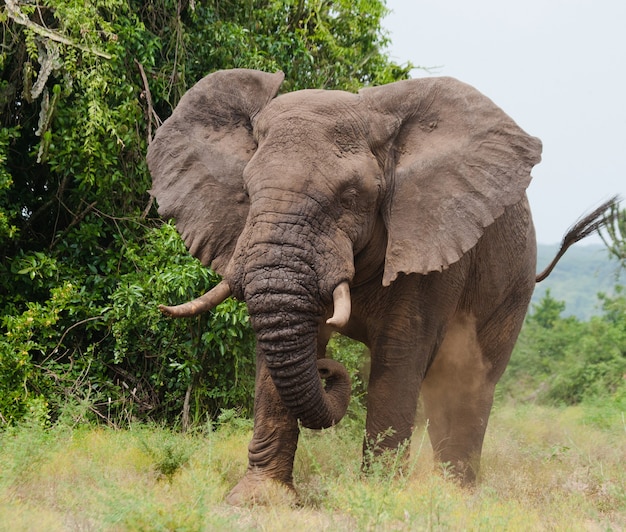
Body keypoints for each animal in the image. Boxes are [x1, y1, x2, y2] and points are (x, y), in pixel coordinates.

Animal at [145, 67, 616, 502]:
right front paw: (259, 500)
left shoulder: (430, 240)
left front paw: (378, 497)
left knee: (470, 382)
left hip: (513, 286)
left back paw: (456, 496)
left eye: (352, 197)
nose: (328, 369)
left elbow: (399, 355)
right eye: (246, 191)